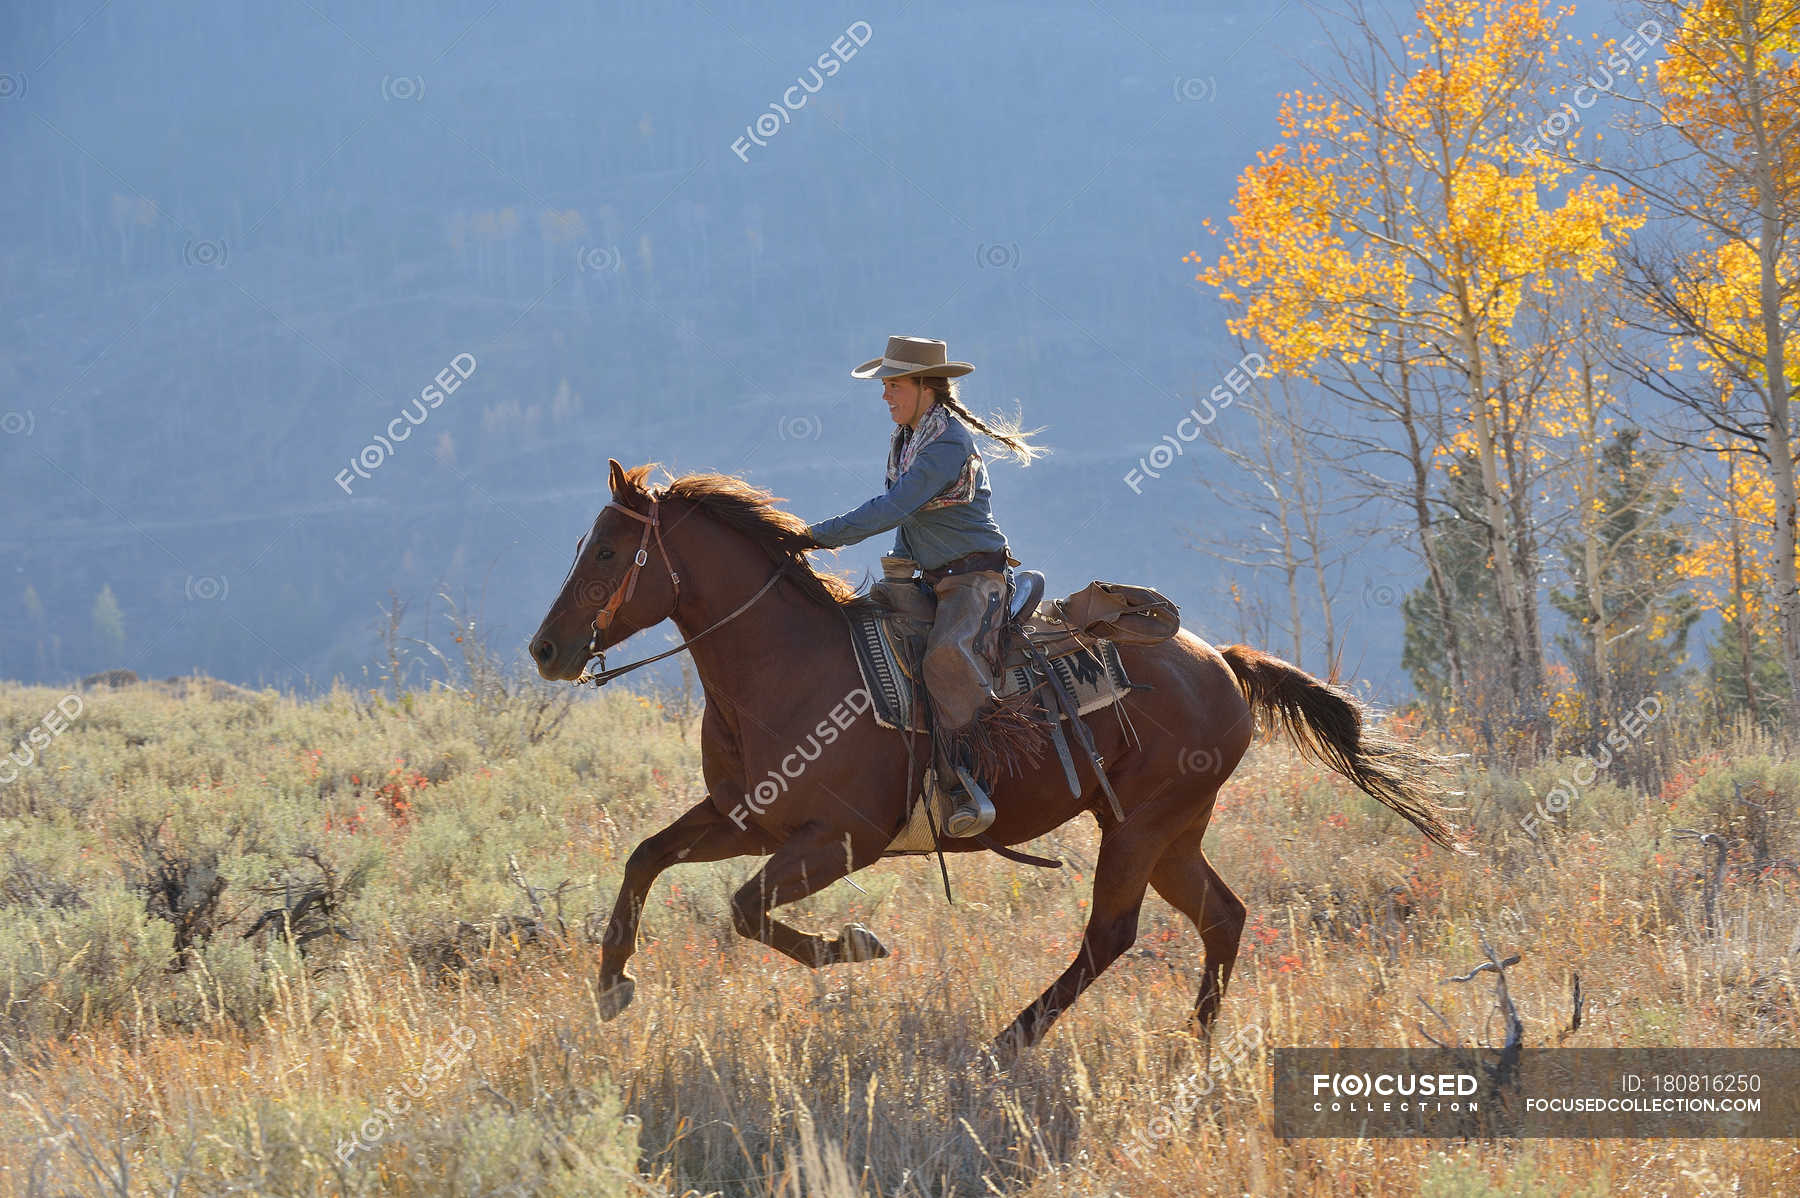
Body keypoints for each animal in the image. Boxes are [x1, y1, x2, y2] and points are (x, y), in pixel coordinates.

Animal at [525, 460, 1468, 1050]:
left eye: (607, 549)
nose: (547, 648)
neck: (787, 668)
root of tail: (1221, 661)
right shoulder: (746, 818)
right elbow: (646, 857)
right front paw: (612, 985)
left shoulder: (838, 841)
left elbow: (746, 910)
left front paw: (857, 944)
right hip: (1174, 831)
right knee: (1223, 918)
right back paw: (1194, 1047)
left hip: (1141, 828)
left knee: (1111, 935)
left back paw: (1007, 1042)